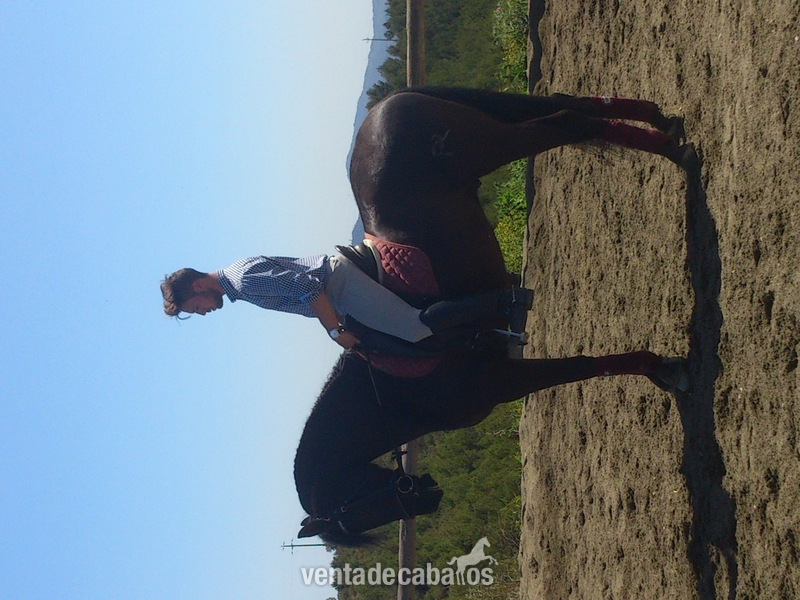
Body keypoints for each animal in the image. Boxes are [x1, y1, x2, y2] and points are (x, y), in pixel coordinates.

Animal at [294, 87, 694, 546]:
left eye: (352, 514)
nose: (430, 496)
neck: (393, 389)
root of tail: (388, 105)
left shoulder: (501, 382)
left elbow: (582, 366)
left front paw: (661, 367)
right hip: (494, 123)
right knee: (569, 106)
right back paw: (662, 128)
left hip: (491, 145)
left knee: (567, 120)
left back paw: (671, 148)